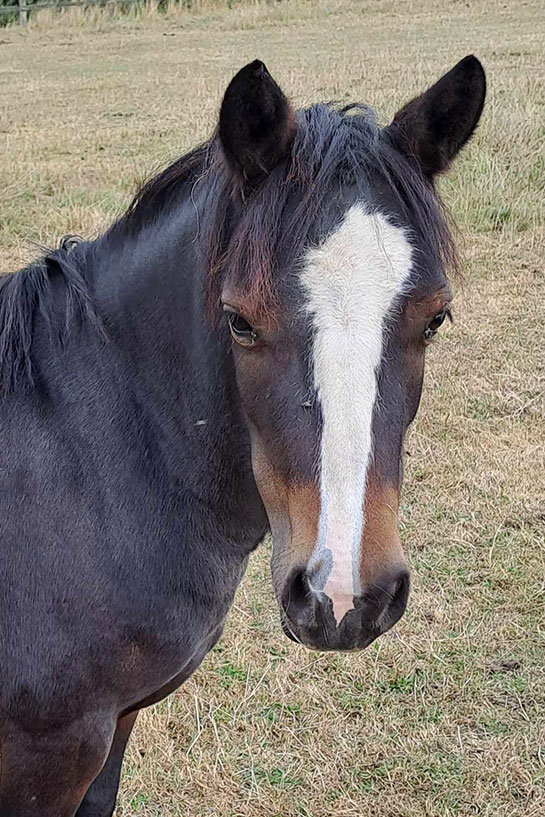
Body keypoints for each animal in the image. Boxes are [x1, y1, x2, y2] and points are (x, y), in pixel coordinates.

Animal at [0, 54, 484, 812]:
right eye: (239, 321)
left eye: (435, 319)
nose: (343, 596)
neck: (88, 462)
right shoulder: (46, 751)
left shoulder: (115, 723)